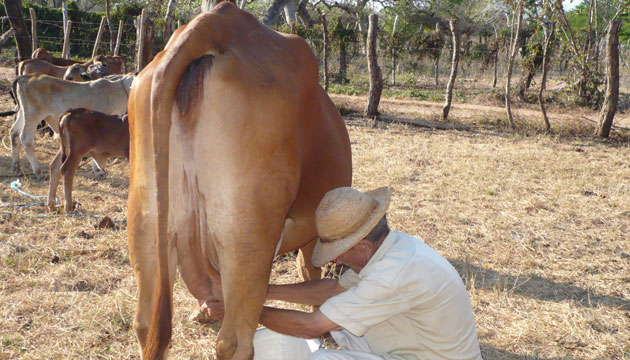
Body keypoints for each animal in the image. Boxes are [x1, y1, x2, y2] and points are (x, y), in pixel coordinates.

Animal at [127, 1, 356, 358]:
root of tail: (219, 22)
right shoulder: (312, 235)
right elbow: (310, 273)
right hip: (247, 242)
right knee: (234, 342)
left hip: (146, 224)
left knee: (145, 323)